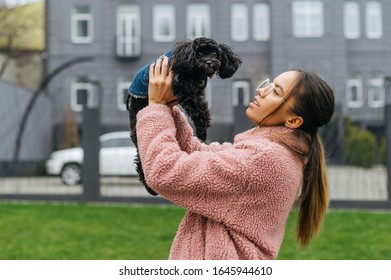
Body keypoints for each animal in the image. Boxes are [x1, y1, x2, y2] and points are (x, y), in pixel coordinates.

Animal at [127, 36, 242, 195]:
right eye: (199, 54)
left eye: (214, 54)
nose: (209, 62)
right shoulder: (183, 88)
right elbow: (197, 109)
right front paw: (202, 131)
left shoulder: (197, 91)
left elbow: (202, 107)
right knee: (140, 157)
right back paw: (149, 187)